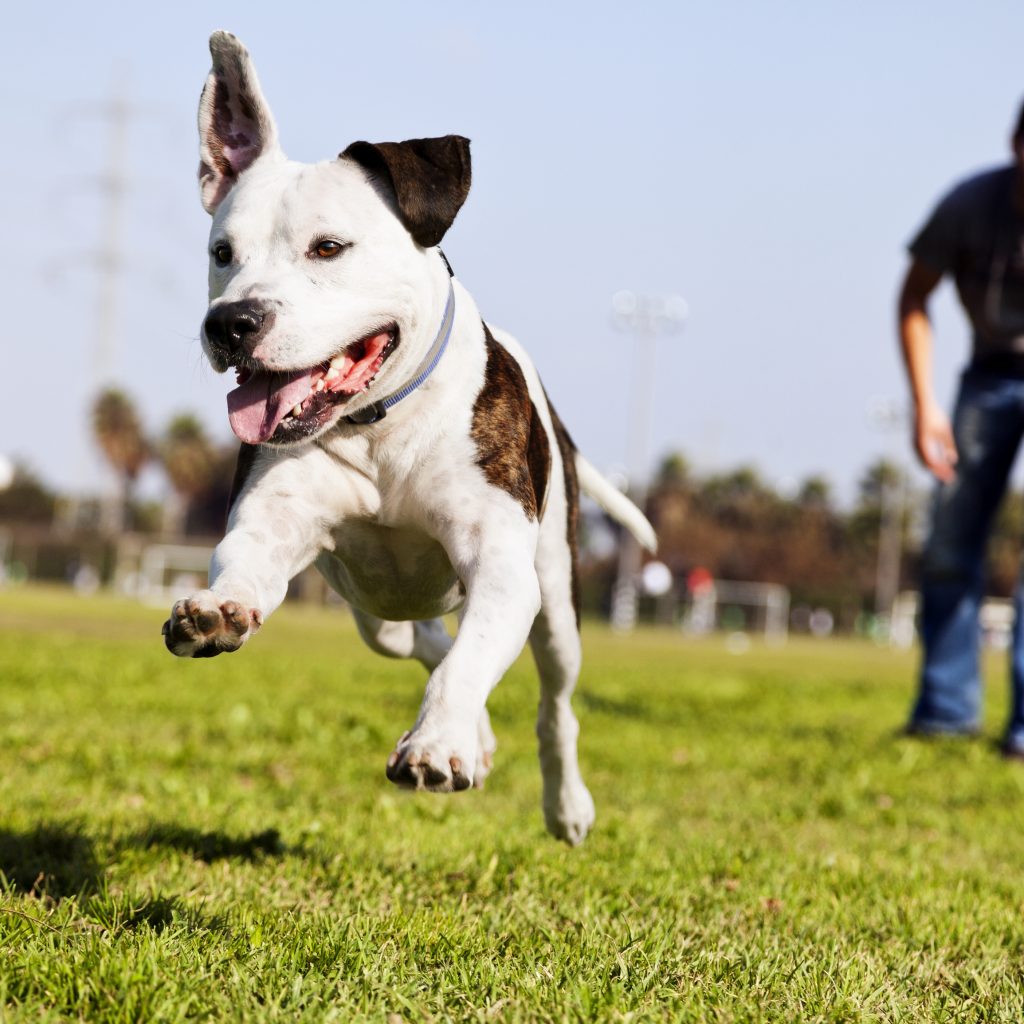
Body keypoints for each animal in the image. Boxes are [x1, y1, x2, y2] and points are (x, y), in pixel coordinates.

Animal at [161, 34, 655, 847]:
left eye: (328, 247)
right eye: (222, 252)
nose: (230, 322)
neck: (379, 425)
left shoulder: (501, 566)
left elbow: (472, 660)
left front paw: (437, 745)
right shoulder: (273, 522)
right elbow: (247, 564)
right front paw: (218, 611)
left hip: (557, 599)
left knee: (552, 701)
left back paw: (563, 802)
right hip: (375, 611)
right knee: (421, 642)